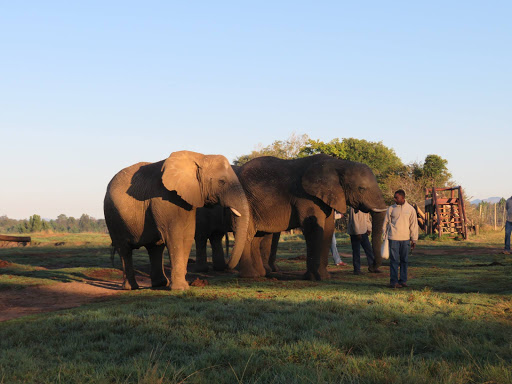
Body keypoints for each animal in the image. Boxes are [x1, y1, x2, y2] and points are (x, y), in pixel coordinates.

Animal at [103, 152, 249, 290]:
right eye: (221, 181)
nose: (228, 266)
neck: (200, 157)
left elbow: (188, 235)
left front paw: (183, 285)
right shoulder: (164, 198)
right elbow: (174, 236)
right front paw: (181, 288)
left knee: (155, 248)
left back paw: (160, 284)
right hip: (112, 216)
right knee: (124, 249)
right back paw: (131, 287)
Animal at [236, 154, 388, 280]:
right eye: (361, 188)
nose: (371, 268)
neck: (339, 164)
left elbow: (328, 229)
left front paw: (325, 277)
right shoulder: (305, 196)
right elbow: (313, 228)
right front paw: (314, 278)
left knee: (255, 237)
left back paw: (260, 273)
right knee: (247, 233)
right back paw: (251, 275)